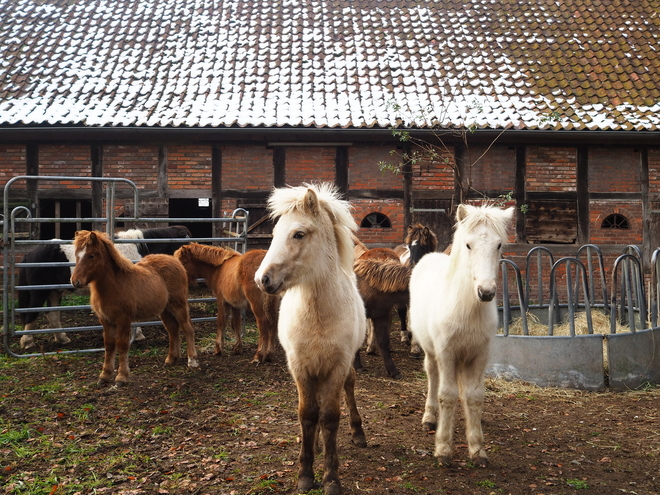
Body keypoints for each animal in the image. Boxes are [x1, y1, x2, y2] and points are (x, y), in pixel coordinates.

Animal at [71, 231, 199, 386]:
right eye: (77, 254)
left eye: (91, 255)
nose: (75, 281)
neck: (115, 285)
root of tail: (175, 261)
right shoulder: (106, 320)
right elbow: (109, 345)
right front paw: (104, 375)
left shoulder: (123, 319)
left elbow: (122, 345)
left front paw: (121, 377)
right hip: (165, 310)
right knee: (173, 329)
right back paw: (171, 359)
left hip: (178, 305)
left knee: (187, 327)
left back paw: (192, 360)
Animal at [254, 183, 366, 495]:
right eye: (274, 233)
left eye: (299, 234)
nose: (261, 279)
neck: (318, 316)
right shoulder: (301, 368)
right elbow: (307, 414)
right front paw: (305, 473)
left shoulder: (336, 367)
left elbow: (329, 417)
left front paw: (331, 477)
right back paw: (314, 444)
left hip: (344, 368)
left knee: (349, 388)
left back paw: (358, 433)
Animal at [410, 204, 512, 468]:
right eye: (468, 245)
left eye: (499, 245)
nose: (486, 292)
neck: (467, 309)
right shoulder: (447, 352)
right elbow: (447, 395)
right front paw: (443, 449)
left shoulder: (479, 355)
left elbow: (474, 397)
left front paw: (477, 449)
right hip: (431, 352)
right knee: (433, 377)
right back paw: (429, 418)